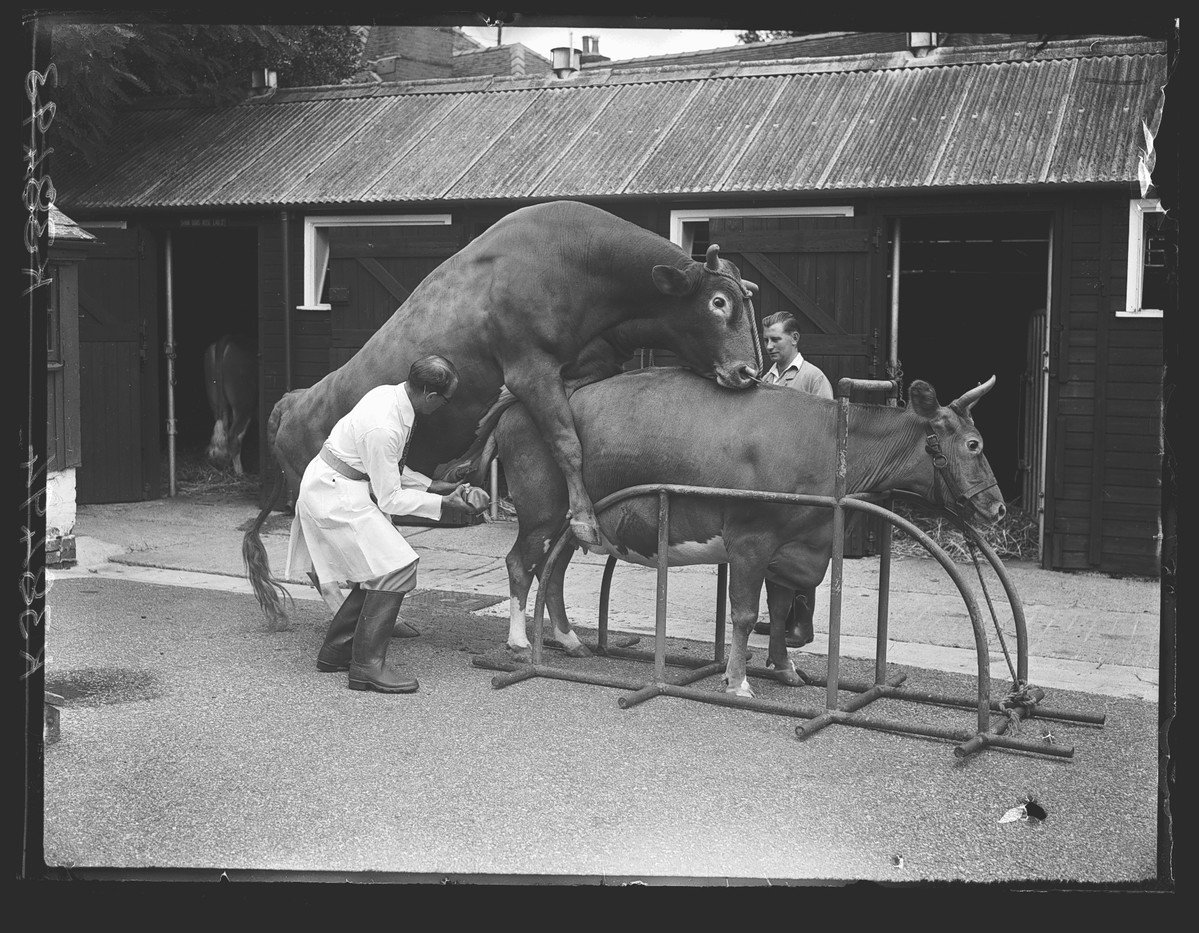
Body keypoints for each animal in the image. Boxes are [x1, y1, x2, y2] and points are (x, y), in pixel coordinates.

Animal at [484, 367, 1006, 696]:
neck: (828, 444)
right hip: (541, 512)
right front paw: (738, 681)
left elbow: (780, 606)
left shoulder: (792, 546)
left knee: (552, 573)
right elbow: (743, 613)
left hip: (573, 526)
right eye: (974, 444)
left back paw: (571, 642)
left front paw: (786, 668)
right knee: (520, 564)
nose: (999, 508)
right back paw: (518, 644)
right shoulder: (751, 540)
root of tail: (517, 403)